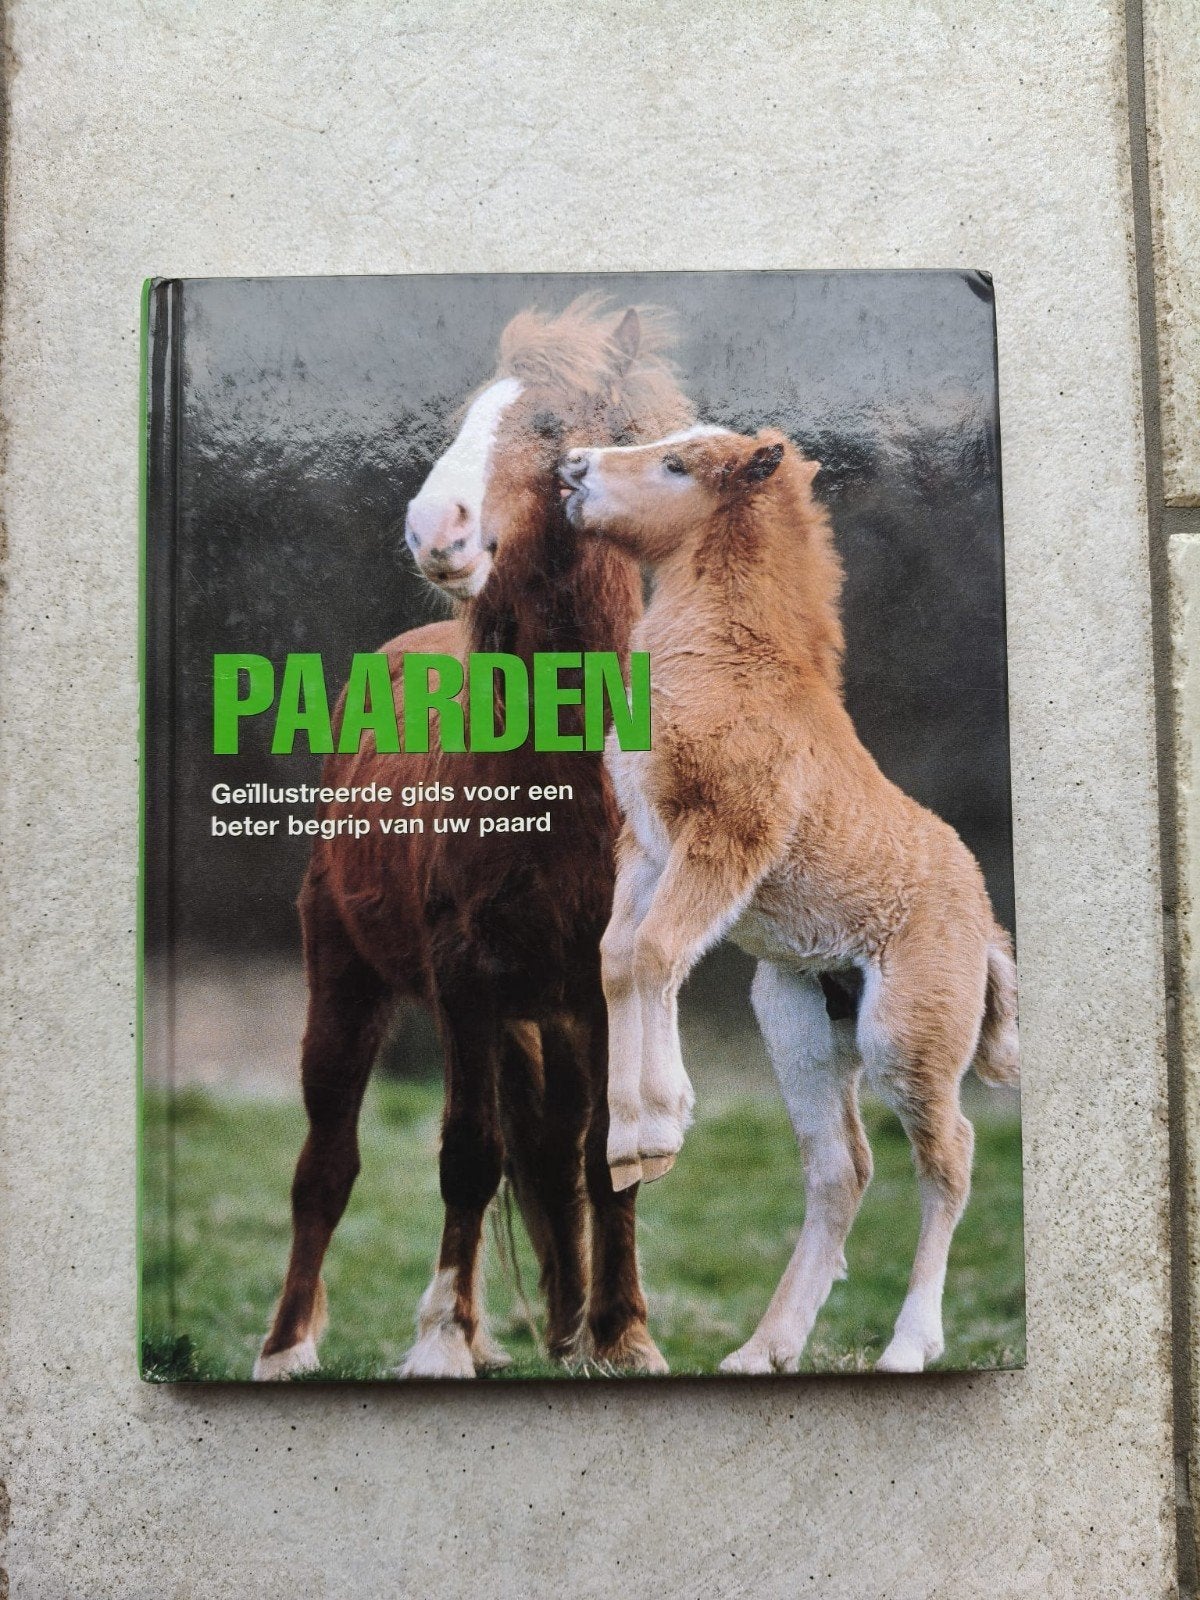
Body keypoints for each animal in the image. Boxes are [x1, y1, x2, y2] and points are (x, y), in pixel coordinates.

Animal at [254, 297, 694, 1380]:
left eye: (552, 425)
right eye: (462, 420)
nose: (435, 529)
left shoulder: (606, 988)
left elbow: (606, 1163)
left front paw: (622, 1338)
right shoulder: (464, 977)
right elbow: (466, 1154)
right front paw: (440, 1342)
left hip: (553, 1017)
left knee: (557, 1153)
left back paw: (562, 1325)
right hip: (347, 982)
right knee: (326, 1165)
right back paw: (286, 1347)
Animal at [558, 424, 1019, 1374]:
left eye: (675, 466)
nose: (571, 468)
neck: (731, 661)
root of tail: (987, 924)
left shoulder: (727, 837)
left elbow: (657, 953)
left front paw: (659, 1132)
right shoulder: (645, 849)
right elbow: (618, 960)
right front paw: (627, 1143)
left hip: (905, 1033)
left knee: (949, 1156)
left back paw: (908, 1345)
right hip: (797, 1020)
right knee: (842, 1167)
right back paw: (762, 1349)